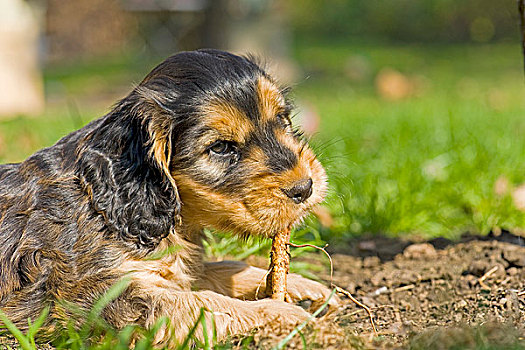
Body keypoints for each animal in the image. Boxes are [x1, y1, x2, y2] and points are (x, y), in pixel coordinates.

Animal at [0, 49, 336, 344]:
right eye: (220, 147)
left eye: (281, 119)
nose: (305, 187)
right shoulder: (103, 296)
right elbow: (204, 303)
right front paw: (282, 313)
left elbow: (220, 269)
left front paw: (306, 287)